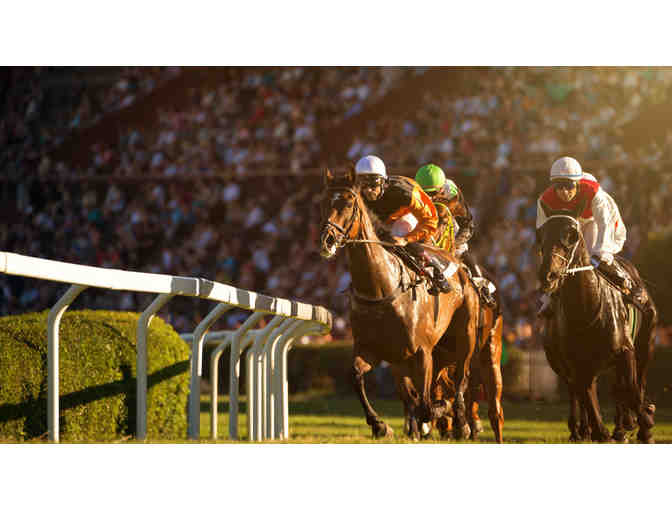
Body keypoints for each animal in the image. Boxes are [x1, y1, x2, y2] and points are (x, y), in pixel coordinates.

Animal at [318, 167, 478, 438]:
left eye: (348, 203)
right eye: (325, 202)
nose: (327, 240)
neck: (381, 288)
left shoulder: (422, 353)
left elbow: (426, 405)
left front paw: (440, 411)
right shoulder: (373, 349)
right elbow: (356, 376)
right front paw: (379, 424)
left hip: (465, 337)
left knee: (461, 378)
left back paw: (461, 422)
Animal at [540, 215, 660, 442]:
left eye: (571, 237)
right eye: (541, 237)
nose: (548, 276)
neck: (587, 306)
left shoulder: (626, 351)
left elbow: (631, 389)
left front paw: (644, 424)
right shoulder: (577, 363)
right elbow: (587, 393)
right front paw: (599, 431)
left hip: (645, 343)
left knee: (634, 383)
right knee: (581, 390)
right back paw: (585, 430)